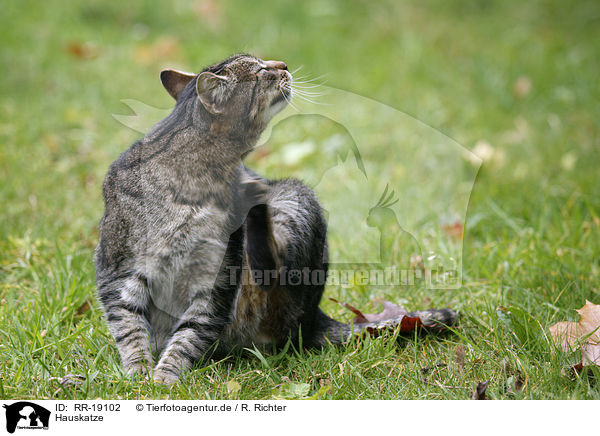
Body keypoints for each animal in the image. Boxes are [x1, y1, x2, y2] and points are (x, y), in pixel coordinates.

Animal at [96, 54, 458, 384]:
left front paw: (166, 375)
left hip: (292, 201)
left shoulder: (217, 277)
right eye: (260, 71)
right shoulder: (118, 269)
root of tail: (314, 318)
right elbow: (128, 326)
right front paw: (139, 372)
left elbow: (191, 332)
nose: (282, 64)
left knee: (270, 272)